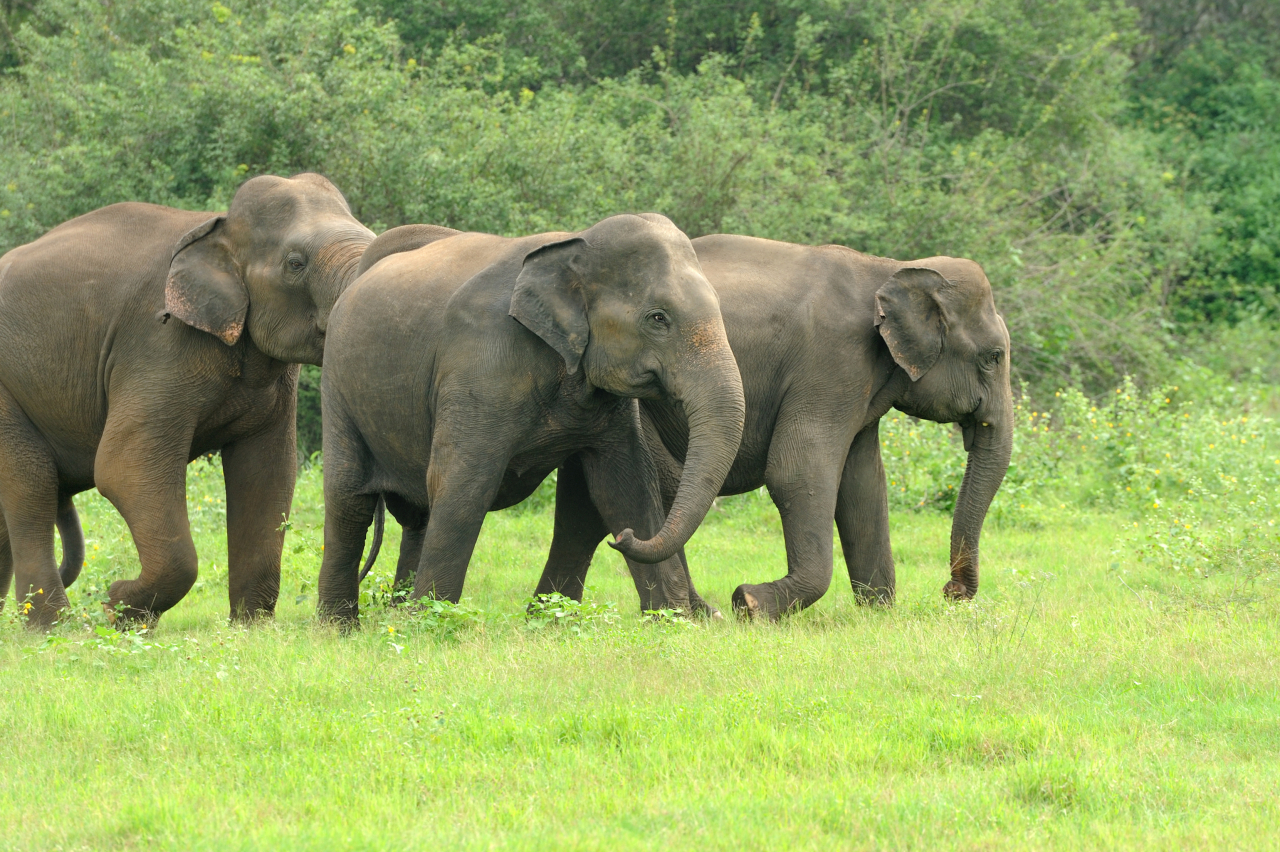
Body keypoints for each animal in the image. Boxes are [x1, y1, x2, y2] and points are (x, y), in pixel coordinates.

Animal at [0, 172, 376, 624]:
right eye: (295, 263)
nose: (108, 595)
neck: (217, 227)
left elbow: (267, 471)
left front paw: (250, 628)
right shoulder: (157, 344)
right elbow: (123, 467)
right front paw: (118, 610)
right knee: (31, 484)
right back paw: (50, 627)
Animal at [313, 211, 747, 616]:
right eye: (658, 318)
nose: (621, 538)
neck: (575, 244)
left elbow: (625, 486)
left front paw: (674, 622)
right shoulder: (482, 361)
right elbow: (462, 483)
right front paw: (431, 625)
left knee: (415, 515)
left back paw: (396, 614)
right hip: (337, 385)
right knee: (349, 501)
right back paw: (340, 629)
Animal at [529, 232, 1008, 616]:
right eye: (994, 357)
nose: (950, 591)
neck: (889, 270)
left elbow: (864, 485)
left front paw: (878, 614)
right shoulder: (831, 363)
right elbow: (798, 472)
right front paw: (750, 604)